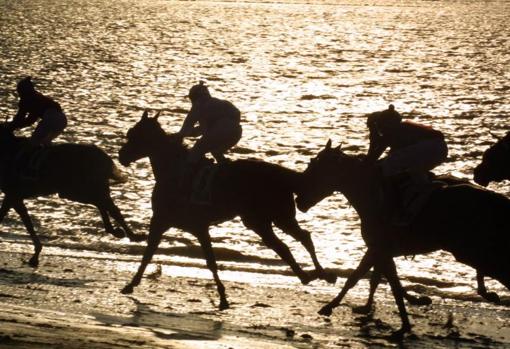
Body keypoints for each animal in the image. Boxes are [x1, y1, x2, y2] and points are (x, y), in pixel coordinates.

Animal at [0, 121, 143, 266]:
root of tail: (102, 157)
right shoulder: (14, 196)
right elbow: (25, 220)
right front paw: (36, 253)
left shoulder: (13, 195)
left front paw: (36, 254)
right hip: (77, 190)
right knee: (103, 204)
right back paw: (117, 231)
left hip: (76, 190)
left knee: (107, 205)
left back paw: (131, 235)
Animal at [117, 110, 336, 308]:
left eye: (135, 135)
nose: (121, 156)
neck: (174, 172)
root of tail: (283, 174)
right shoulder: (172, 222)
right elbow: (151, 253)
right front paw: (131, 284)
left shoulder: (181, 223)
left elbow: (207, 261)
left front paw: (222, 297)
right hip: (262, 221)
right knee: (289, 244)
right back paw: (311, 276)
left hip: (276, 217)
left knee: (298, 240)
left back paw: (319, 274)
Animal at [294, 141, 510, 334]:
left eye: (314, 168)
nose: (298, 200)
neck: (371, 194)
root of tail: (499, 200)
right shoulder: (380, 250)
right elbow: (373, 279)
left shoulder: (379, 248)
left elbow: (375, 281)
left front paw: (404, 323)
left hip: (469, 251)